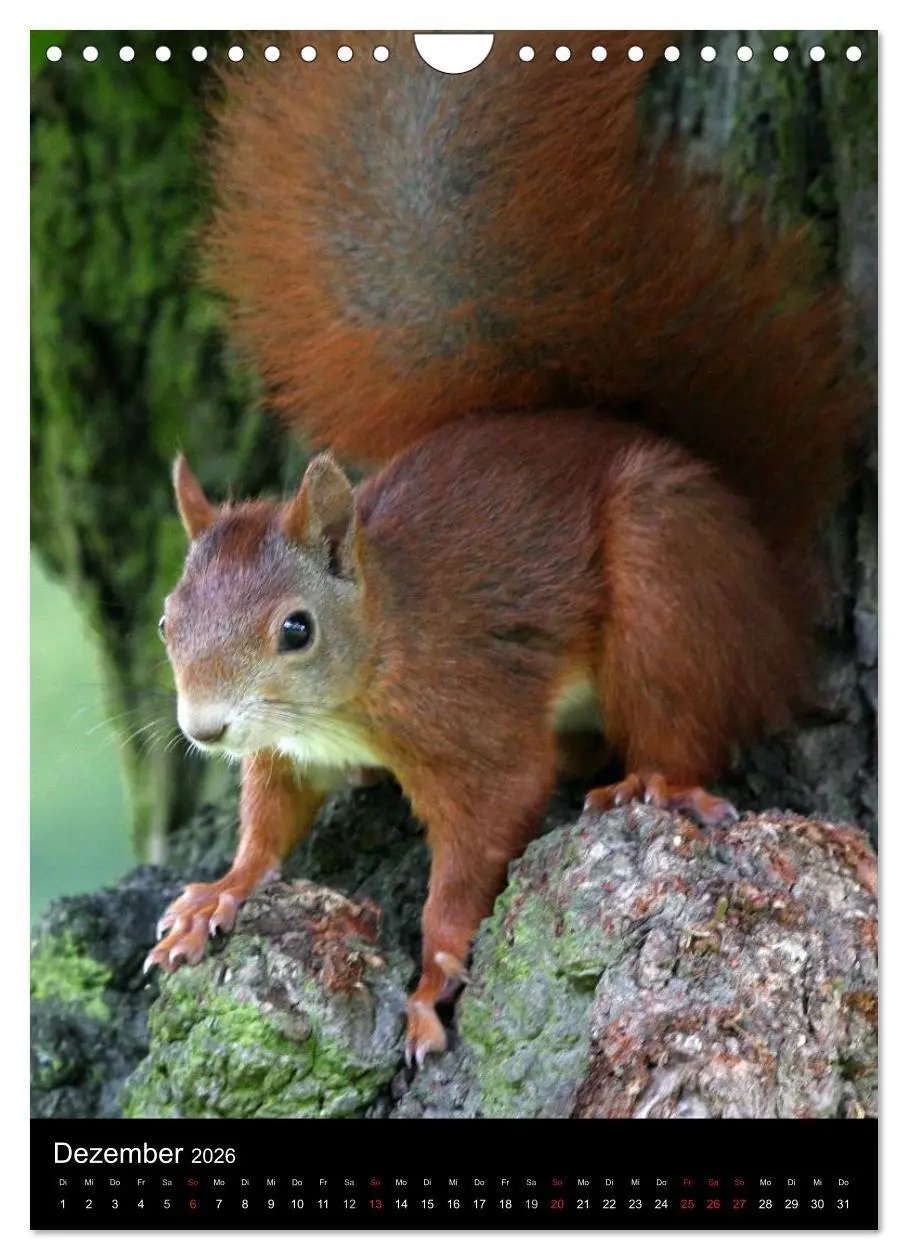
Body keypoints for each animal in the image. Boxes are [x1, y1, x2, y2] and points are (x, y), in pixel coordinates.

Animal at [145, 32, 865, 1065]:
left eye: (295, 630)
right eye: (168, 622)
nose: (205, 730)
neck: (379, 650)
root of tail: (768, 586)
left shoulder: (473, 728)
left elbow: (478, 843)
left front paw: (430, 981)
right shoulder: (283, 749)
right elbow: (267, 827)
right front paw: (219, 893)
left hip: (665, 575)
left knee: (681, 722)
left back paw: (655, 778)